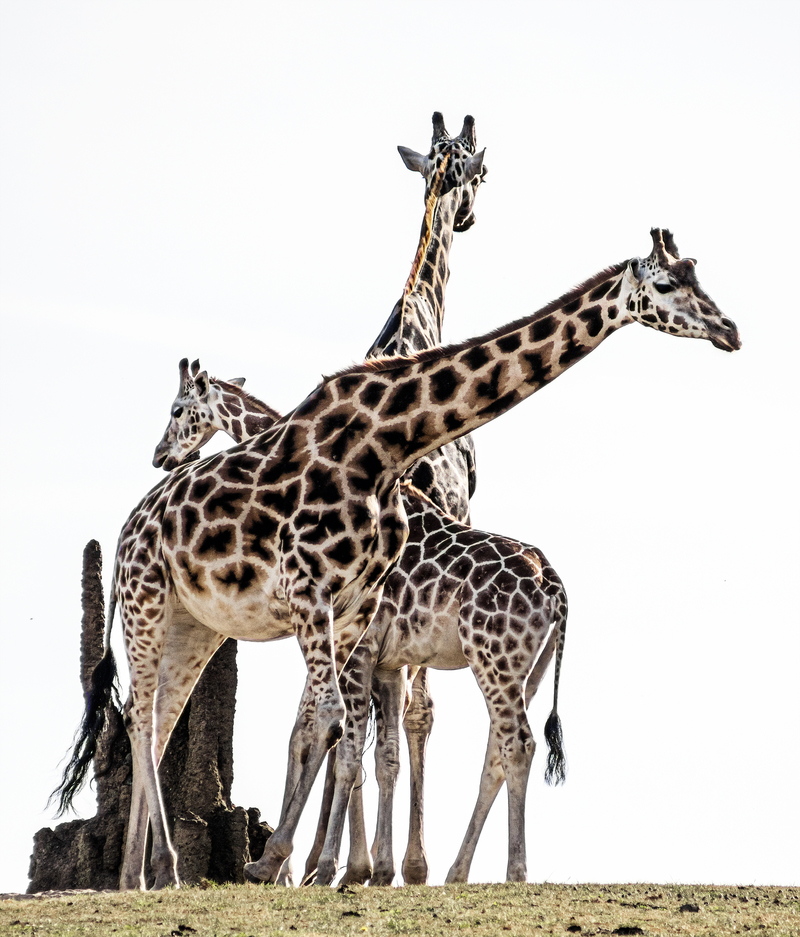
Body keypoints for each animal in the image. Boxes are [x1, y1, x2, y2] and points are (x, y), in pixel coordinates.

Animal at [151, 362, 567, 885]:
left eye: (177, 409)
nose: (161, 456)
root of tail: (556, 590)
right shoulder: (383, 660)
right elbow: (364, 751)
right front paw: (365, 868)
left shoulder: (361, 648)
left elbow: (343, 751)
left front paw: (330, 867)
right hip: (524, 669)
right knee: (497, 750)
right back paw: (457, 872)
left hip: (494, 659)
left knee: (518, 744)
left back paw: (512, 872)